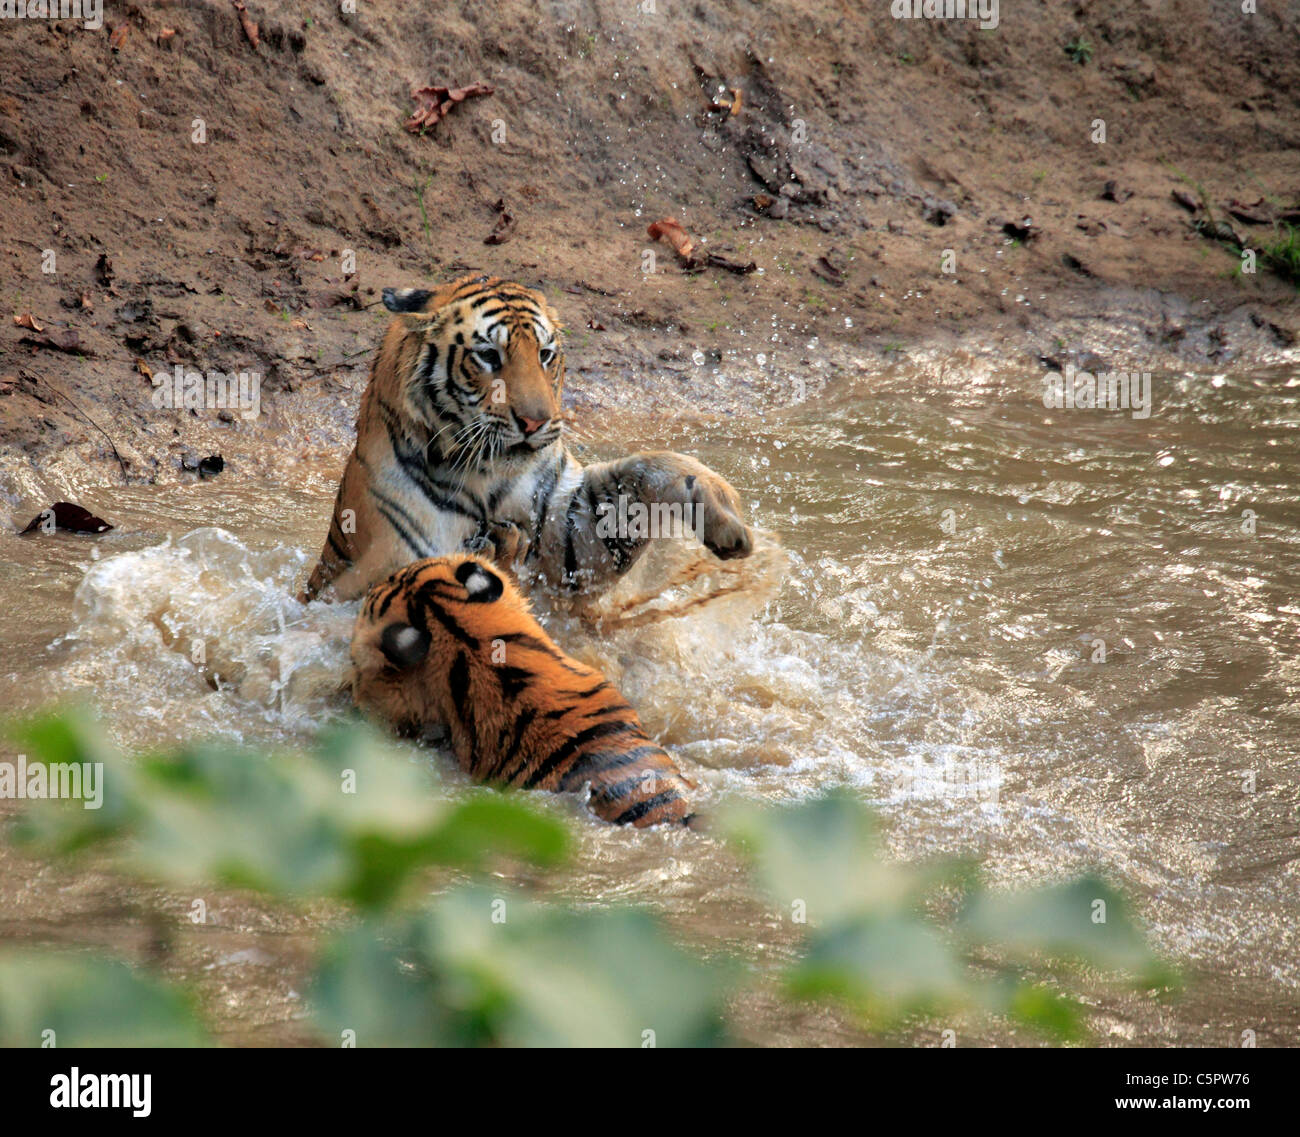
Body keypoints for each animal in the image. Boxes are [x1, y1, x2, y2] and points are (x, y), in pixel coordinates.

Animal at [300, 272, 754, 605]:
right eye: (488, 356)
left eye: (545, 355)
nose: (536, 422)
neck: (488, 480)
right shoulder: (370, 572)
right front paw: (493, 553)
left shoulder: (575, 536)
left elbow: (645, 470)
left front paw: (723, 513)